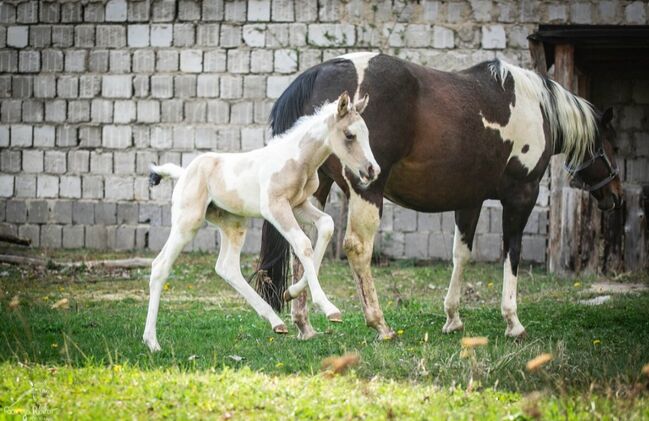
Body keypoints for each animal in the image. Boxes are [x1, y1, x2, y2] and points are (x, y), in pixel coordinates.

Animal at [142, 92, 378, 352]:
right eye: (349, 135)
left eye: (367, 132)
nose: (372, 170)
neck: (298, 160)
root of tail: (184, 173)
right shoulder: (275, 207)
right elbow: (303, 243)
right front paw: (328, 308)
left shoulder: (299, 205)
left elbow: (326, 226)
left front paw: (290, 292)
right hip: (187, 222)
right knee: (160, 266)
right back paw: (152, 342)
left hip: (233, 224)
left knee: (227, 267)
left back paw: (276, 322)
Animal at [254, 52, 623, 341]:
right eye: (612, 145)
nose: (616, 196)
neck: (536, 107)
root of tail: (320, 72)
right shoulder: (521, 196)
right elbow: (512, 253)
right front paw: (513, 322)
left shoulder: (469, 201)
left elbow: (461, 255)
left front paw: (453, 318)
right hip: (366, 188)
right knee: (357, 247)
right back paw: (380, 325)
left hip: (314, 191)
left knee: (304, 241)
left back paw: (303, 322)